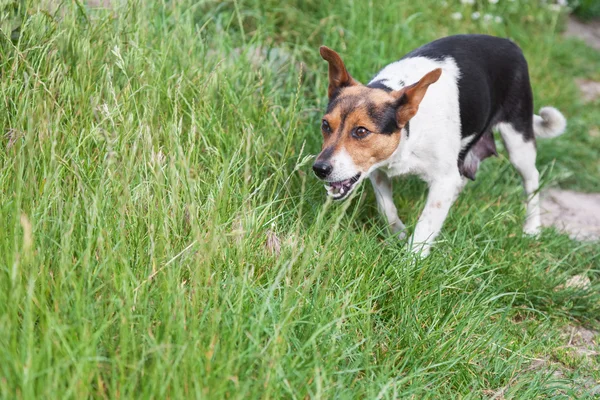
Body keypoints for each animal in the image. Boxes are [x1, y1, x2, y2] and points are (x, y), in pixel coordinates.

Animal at [314, 36, 568, 258]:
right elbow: (386, 208)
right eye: (325, 125)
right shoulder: (377, 169)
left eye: (361, 131)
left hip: (518, 139)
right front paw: (399, 234)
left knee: (532, 180)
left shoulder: (443, 179)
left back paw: (532, 228)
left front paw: (410, 262)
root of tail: (509, 42)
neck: (409, 132)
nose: (320, 169)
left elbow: (425, 223)